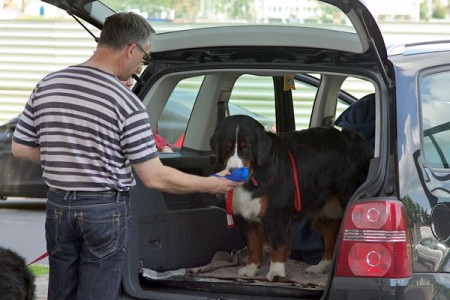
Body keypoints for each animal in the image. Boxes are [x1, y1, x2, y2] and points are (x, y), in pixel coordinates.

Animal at [211, 115, 372, 282]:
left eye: (246, 148)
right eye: (227, 148)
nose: (232, 170)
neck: (255, 174)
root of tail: (356, 138)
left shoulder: (277, 215)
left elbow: (277, 247)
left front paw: (276, 272)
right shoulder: (247, 218)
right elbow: (253, 245)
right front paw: (251, 269)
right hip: (325, 213)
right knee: (331, 241)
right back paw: (321, 266)